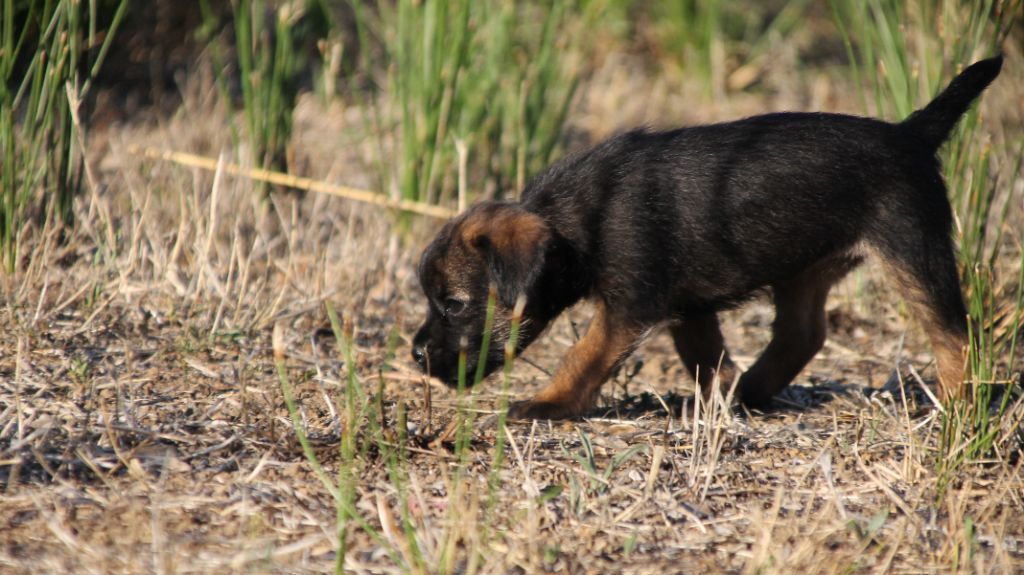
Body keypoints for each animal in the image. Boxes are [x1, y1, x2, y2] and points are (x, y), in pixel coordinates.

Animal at [411, 56, 1003, 419]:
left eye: (455, 304)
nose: (416, 355)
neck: (576, 220)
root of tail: (910, 133)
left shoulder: (629, 308)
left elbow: (582, 355)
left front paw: (548, 403)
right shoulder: (688, 307)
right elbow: (706, 357)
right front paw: (719, 398)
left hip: (913, 250)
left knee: (955, 336)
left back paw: (959, 410)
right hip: (804, 267)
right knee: (804, 334)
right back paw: (754, 390)